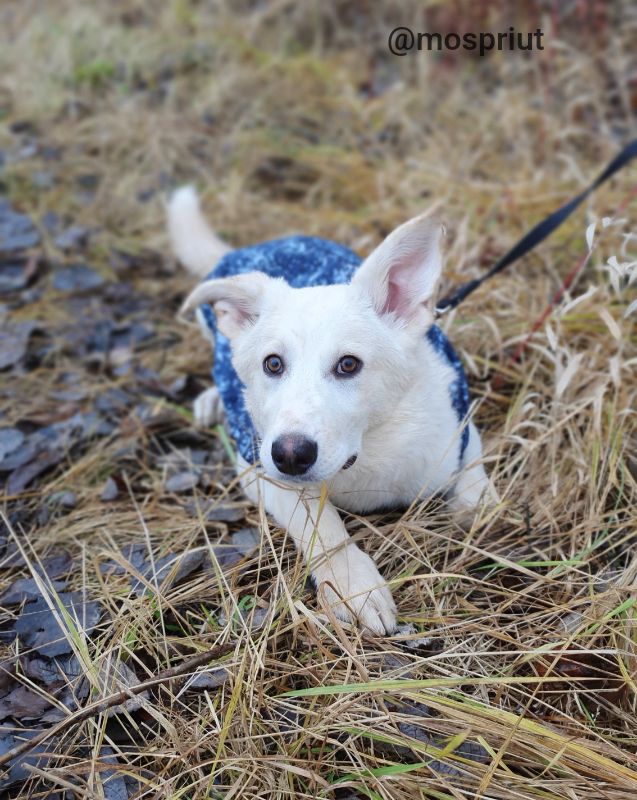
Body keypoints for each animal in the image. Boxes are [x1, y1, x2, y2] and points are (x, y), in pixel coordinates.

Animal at [168, 188, 492, 632]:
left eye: (349, 364)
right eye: (273, 364)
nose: (290, 455)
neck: (369, 452)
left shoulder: (458, 428)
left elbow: (475, 468)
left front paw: (475, 503)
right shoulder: (260, 470)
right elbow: (322, 525)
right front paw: (355, 584)